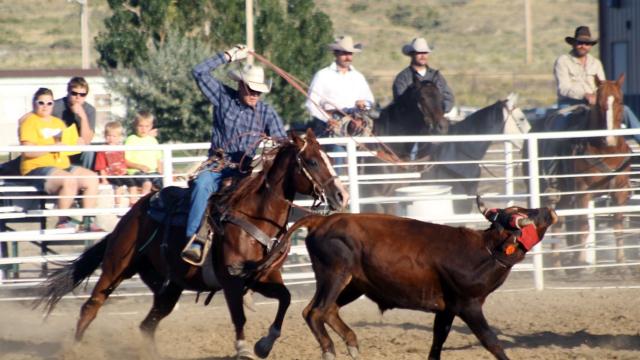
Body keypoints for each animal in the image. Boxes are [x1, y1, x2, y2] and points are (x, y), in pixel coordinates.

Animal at [33, 130, 350, 360]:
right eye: (312, 162)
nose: (342, 195)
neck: (255, 218)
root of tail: (133, 213)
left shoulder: (263, 277)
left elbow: (285, 299)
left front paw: (264, 344)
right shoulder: (231, 281)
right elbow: (239, 316)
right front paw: (244, 349)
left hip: (168, 287)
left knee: (148, 324)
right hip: (116, 267)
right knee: (91, 306)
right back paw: (76, 348)